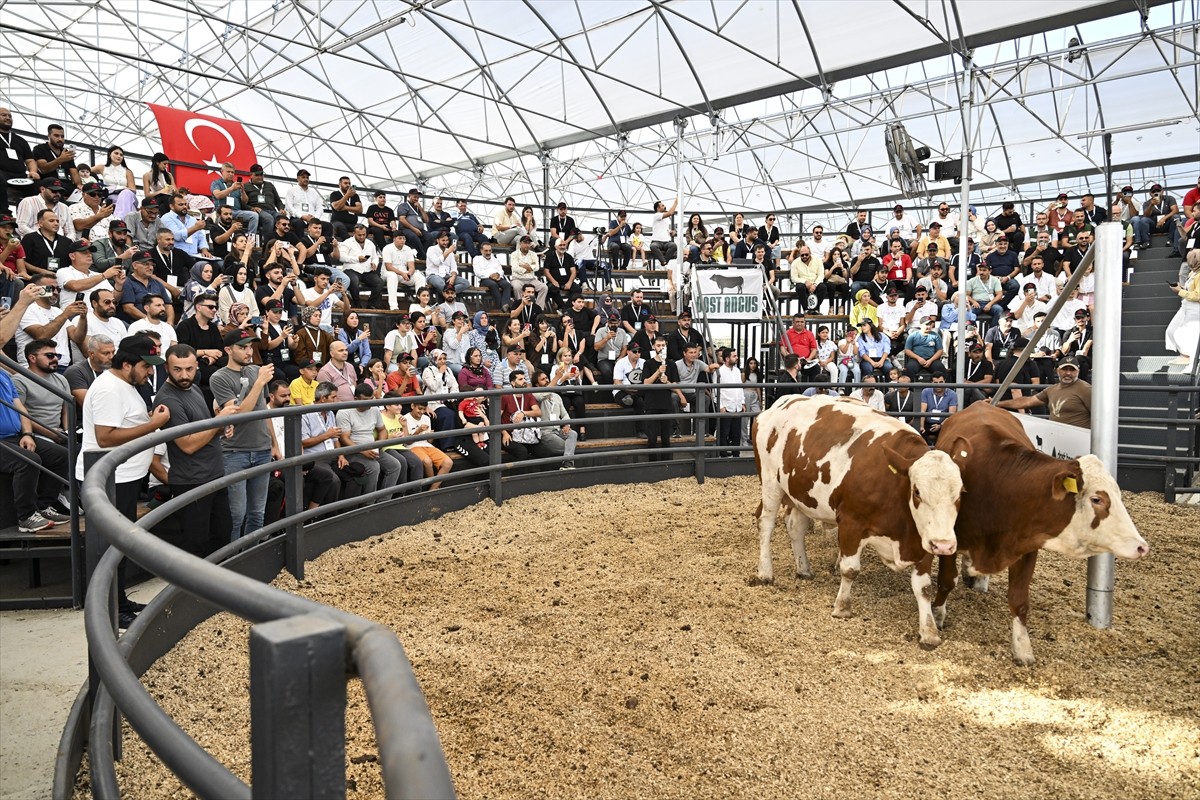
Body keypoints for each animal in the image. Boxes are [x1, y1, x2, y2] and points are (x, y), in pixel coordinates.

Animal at [753, 393, 969, 652]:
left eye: (960, 493)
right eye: (917, 492)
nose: (945, 545)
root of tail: (781, 402)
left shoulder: (922, 539)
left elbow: (924, 588)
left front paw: (929, 632)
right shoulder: (850, 523)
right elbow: (850, 569)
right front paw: (842, 607)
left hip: (801, 494)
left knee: (795, 528)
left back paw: (804, 569)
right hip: (770, 484)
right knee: (766, 525)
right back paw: (765, 572)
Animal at [931, 402, 1147, 666]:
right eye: (1097, 499)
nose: (1141, 546)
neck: (999, 487)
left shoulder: (1026, 546)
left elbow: (1019, 601)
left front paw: (1023, 649)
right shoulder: (948, 539)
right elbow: (945, 581)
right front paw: (938, 615)